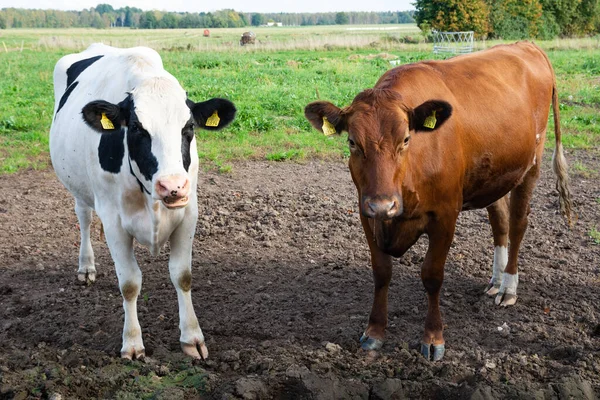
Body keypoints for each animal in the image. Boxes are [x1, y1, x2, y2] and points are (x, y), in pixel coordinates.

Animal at [49, 43, 237, 360]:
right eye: (136, 128)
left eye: (189, 127)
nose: (172, 186)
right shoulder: (113, 221)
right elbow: (129, 283)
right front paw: (133, 342)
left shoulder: (189, 212)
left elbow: (182, 275)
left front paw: (192, 337)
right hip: (78, 187)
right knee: (83, 218)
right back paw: (86, 267)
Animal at [304, 42, 572, 360]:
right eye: (352, 142)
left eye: (406, 139)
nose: (384, 205)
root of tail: (526, 45)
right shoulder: (366, 213)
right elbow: (381, 272)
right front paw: (374, 332)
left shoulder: (445, 216)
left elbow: (432, 275)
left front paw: (433, 338)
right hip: (493, 174)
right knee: (500, 221)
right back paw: (495, 281)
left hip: (531, 163)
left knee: (518, 223)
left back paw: (508, 287)